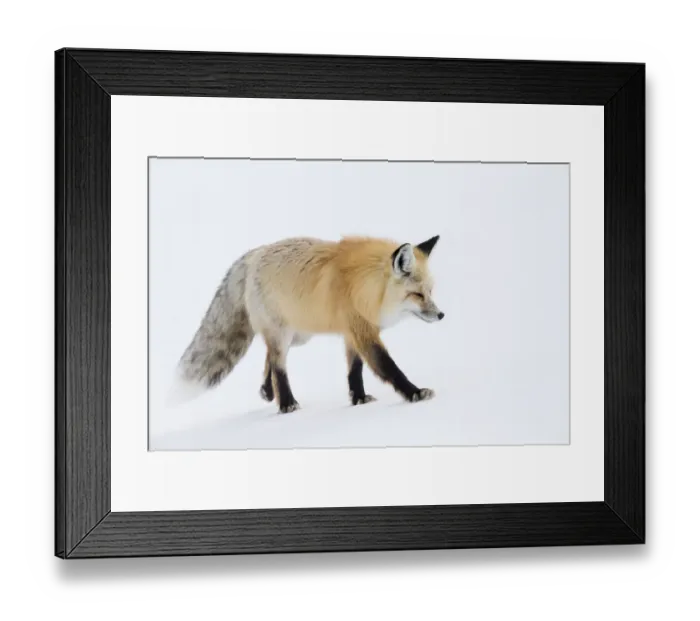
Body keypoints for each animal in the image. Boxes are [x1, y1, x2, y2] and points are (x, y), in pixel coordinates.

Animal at [172, 235, 444, 413]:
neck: (365, 287)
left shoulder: (352, 332)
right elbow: (388, 367)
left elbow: (354, 371)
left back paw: (267, 391)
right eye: (417, 295)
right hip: (282, 334)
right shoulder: (363, 332)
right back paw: (286, 403)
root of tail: (254, 254)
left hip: (299, 336)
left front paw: (358, 399)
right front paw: (414, 393)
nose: (441, 315)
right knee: (278, 365)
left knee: (269, 359)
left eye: (430, 291)